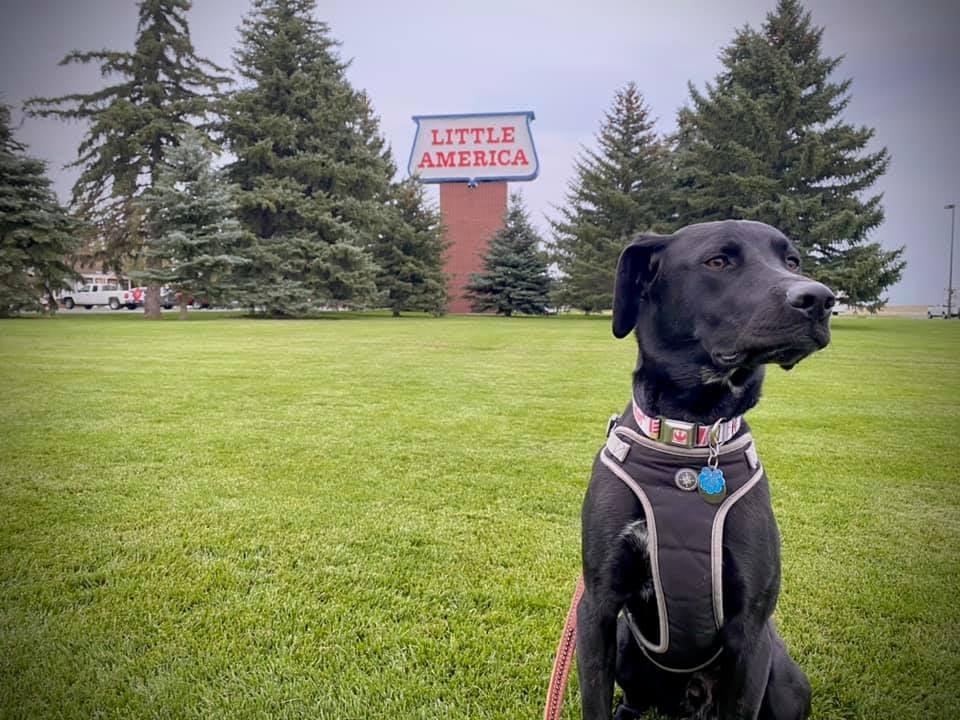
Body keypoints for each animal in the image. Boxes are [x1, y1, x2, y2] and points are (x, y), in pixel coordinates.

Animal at [576, 221, 832, 720]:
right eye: (718, 261)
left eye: (792, 261)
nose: (819, 298)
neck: (691, 439)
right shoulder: (597, 609)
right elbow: (594, 701)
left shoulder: (750, 630)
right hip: (628, 643)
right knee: (634, 698)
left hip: (787, 680)